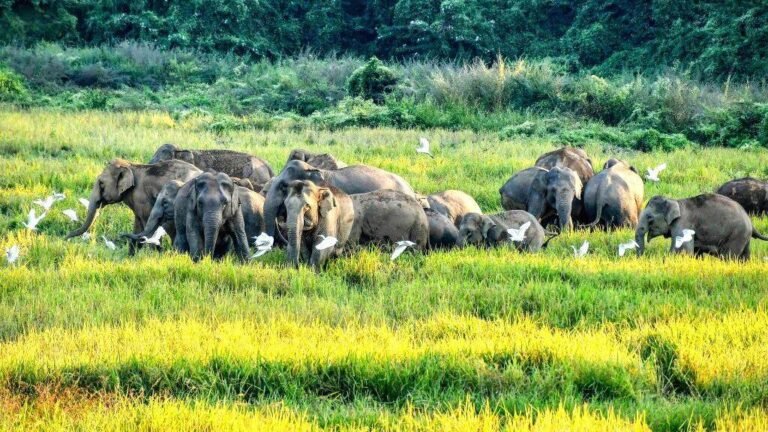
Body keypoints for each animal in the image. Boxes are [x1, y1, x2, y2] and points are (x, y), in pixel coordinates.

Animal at [66, 159, 202, 252]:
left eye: (101, 183)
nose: (66, 238)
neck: (130, 165)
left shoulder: (141, 198)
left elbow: (147, 226)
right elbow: (138, 226)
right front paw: (130, 258)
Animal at [283, 181, 428, 268]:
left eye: (307, 206)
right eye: (285, 205)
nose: (295, 267)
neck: (319, 188)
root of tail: (420, 208)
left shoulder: (331, 218)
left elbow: (322, 248)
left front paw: (312, 271)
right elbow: (304, 246)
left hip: (418, 229)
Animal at [635, 194, 768, 260]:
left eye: (650, 218)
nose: (641, 257)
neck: (674, 201)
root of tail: (750, 222)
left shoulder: (682, 224)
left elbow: (682, 250)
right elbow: (695, 252)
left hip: (736, 235)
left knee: (728, 257)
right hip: (744, 236)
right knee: (744, 257)